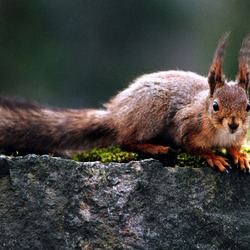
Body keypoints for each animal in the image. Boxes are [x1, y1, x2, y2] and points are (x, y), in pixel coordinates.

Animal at [0, 32, 249, 173]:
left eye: (247, 106)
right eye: (215, 106)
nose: (233, 124)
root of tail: (116, 115)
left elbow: (235, 146)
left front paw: (239, 156)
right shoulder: (186, 125)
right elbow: (194, 146)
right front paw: (213, 157)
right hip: (149, 114)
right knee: (125, 140)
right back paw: (155, 147)